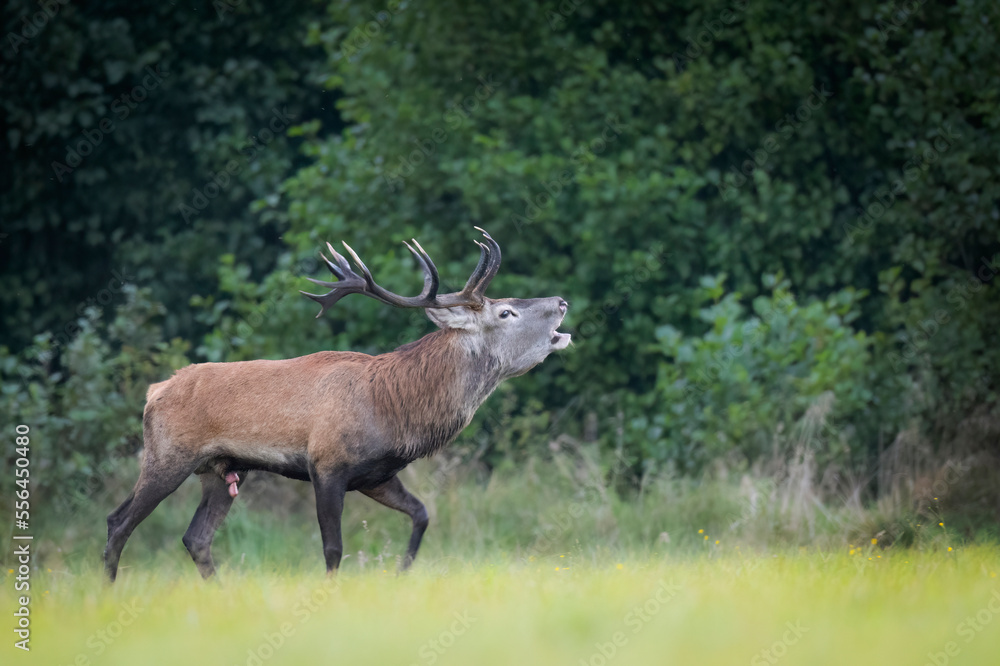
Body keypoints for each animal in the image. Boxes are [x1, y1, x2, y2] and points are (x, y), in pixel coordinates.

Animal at [103, 228, 570, 581]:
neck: (397, 409)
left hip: (222, 470)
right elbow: (333, 548)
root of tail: (155, 391)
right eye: (506, 312)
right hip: (168, 454)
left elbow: (421, 514)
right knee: (118, 522)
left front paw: (402, 573)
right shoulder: (326, 464)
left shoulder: (377, 474)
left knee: (196, 538)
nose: (562, 301)